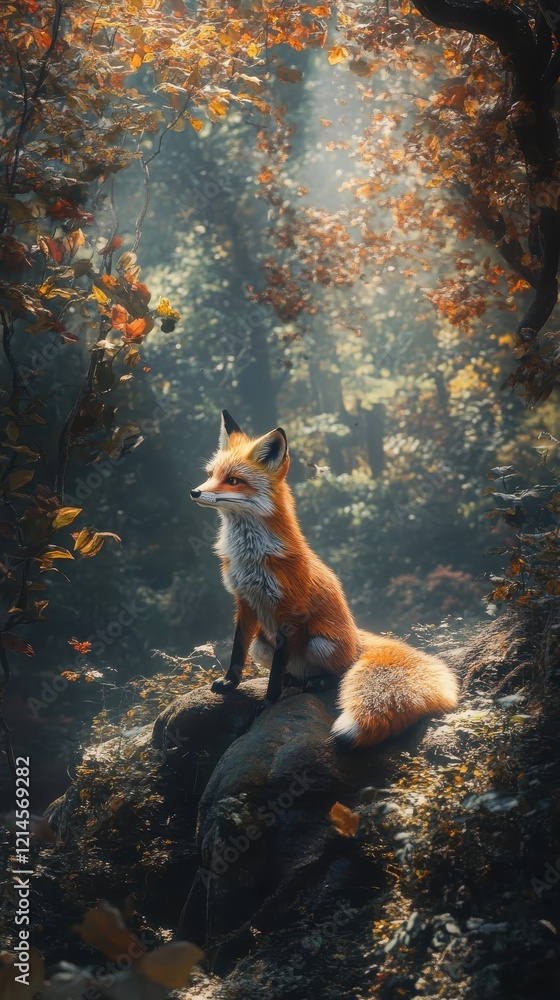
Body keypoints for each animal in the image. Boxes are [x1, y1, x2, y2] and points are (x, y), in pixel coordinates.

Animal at [190, 410, 459, 749]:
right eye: (211, 474)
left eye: (234, 481)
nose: (195, 492)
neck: (251, 557)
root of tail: (358, 639)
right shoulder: (245, 601)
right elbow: (238, 651)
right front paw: (230, 683)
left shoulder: (288, 611)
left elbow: (275, 674)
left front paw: (270, 701)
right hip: (262, 644)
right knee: (286, 669)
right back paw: (295, 679)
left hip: (320, 643)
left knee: (339, 673)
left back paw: (317, 682)